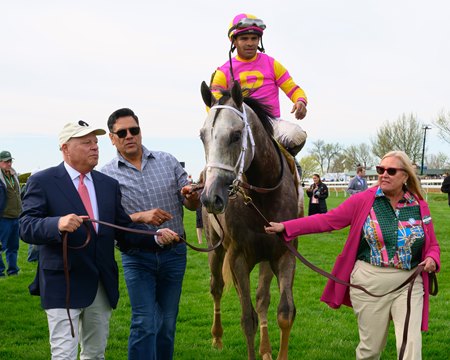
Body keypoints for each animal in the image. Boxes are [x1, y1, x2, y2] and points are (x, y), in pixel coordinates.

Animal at [199, 81, 300, 360]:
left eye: (235, 135)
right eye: (202, 136)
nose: (210, 197)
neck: (263, 196)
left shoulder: (284, 253)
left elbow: (284, 312)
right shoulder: (238, 257)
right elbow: (247, 320)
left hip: (265, 257)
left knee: (262, 298)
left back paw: (266, 350)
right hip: (215, 247)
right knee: (217, 287)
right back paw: (216, 338)